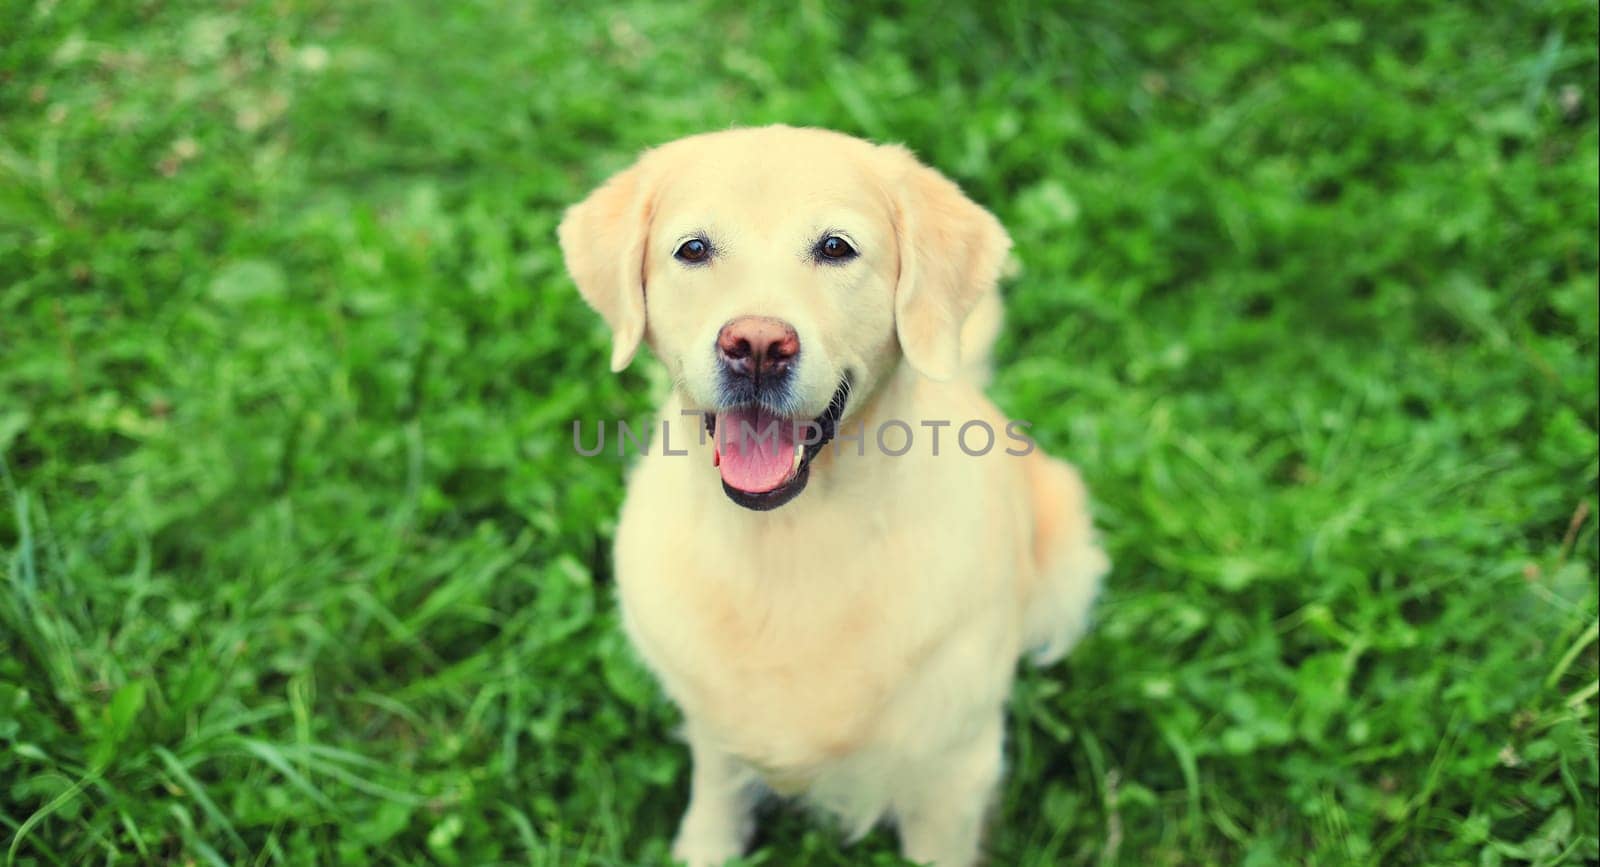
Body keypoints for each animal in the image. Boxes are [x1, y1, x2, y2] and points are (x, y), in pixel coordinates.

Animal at [560, 123, 1100, 867]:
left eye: (836, 248)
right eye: (693, 249)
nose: (757, 345)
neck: (791, 538)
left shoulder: (954, 768)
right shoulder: (713, 726)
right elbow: (717, 794)